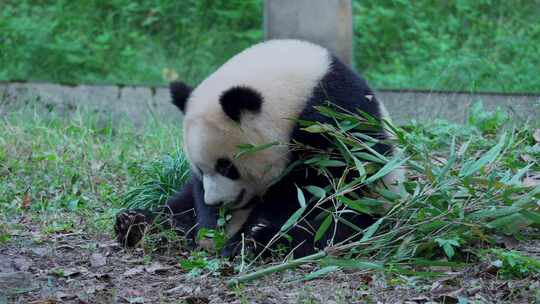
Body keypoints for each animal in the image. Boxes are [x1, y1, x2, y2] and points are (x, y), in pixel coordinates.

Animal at [116, 39, 402, 258]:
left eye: (227, 167)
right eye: (200, 168)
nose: (217, 202)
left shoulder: (332, 118)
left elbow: (322, 184)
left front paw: (244, 236)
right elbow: (193, 197)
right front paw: (211, 230)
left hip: (376, 205)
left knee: (335, 226)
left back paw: (261, 239)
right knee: (177, 206)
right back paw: (134, 224)